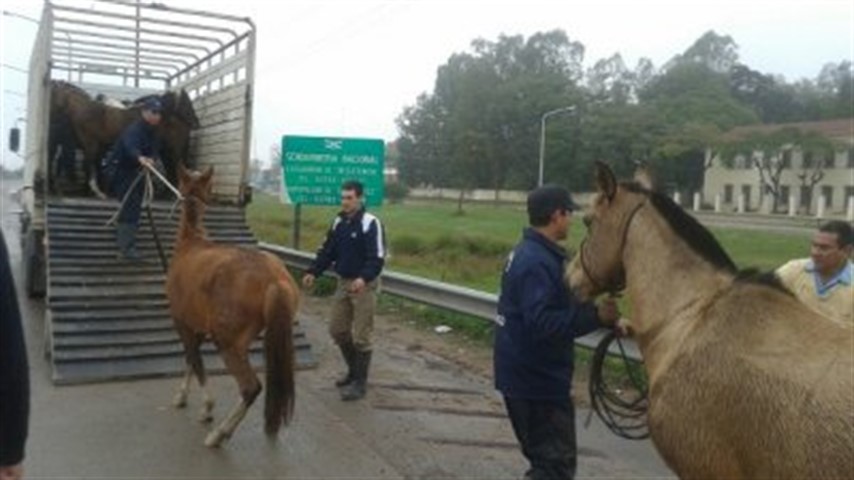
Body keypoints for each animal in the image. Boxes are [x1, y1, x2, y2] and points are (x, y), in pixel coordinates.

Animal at [167, 165, 300, 446]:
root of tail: (274, 278)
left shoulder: (183, 324)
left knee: (251, 387)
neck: (191, 243)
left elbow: (195, 362)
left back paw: (219, 434)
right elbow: (191, 361)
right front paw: (184, 397)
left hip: (227, 343)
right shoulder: (198, 329)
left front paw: (205, 407)